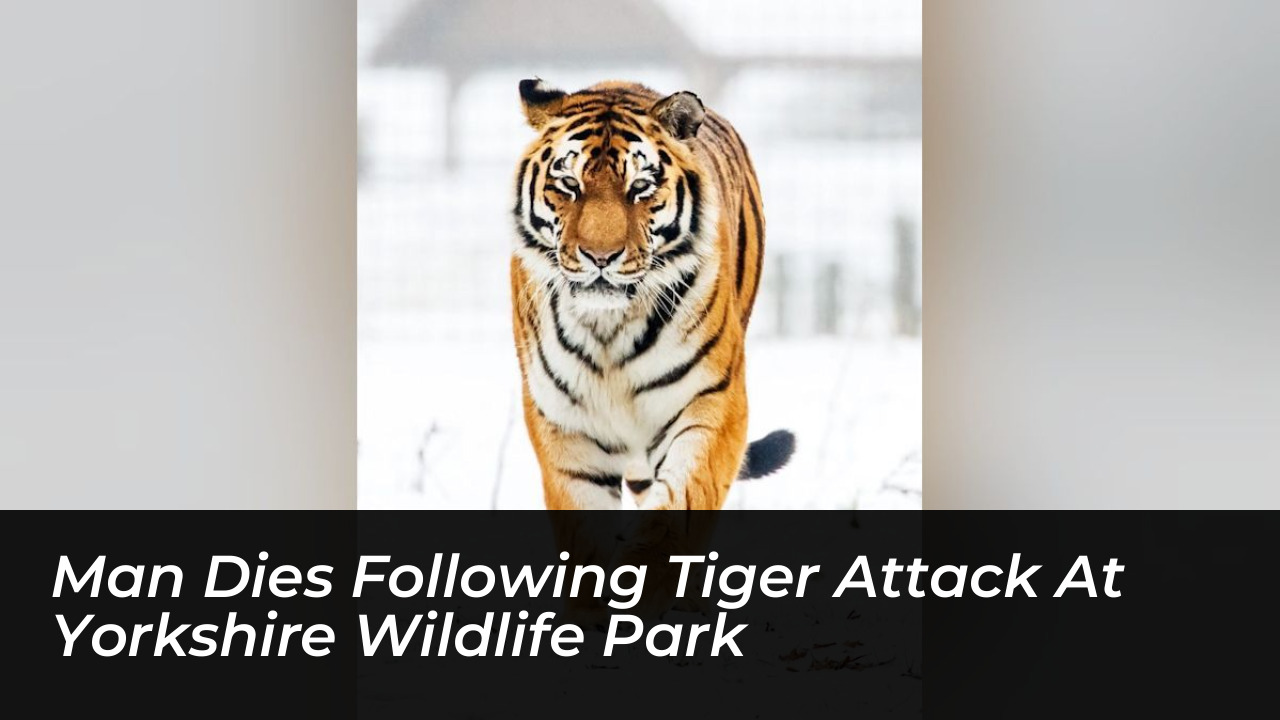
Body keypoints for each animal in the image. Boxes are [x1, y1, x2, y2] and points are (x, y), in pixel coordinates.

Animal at [509, 78, 795, 512]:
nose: (600, 257)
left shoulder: (711, 402)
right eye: (570, 185)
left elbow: (681, 499)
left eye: (640, 187)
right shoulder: (565, 430)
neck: (608, 327)